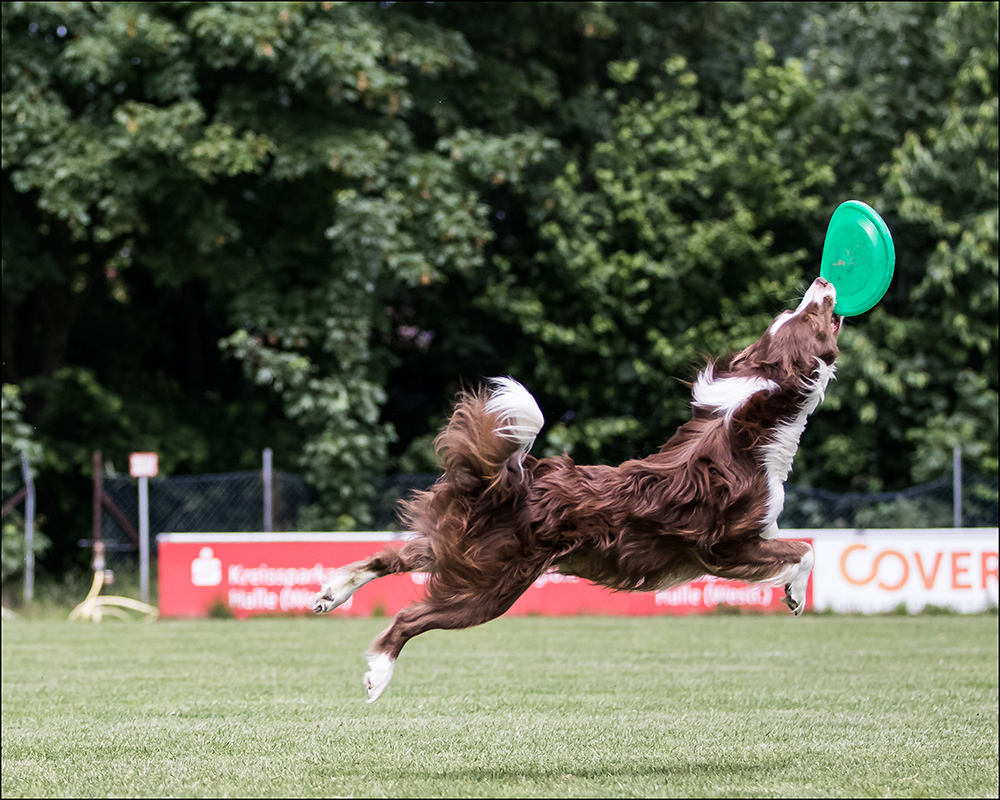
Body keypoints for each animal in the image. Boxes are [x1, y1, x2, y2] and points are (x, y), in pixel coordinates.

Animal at [316, 276, 840, 700]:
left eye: (792, 316)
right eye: (810, 317)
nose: (822, 280)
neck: (751, 420)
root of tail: (506, 482)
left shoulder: (756, 536)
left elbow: (797, 547)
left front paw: (791, 592)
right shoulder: (727, 546)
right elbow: (806, 550)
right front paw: (796, 595)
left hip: (461, 547)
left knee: (393, 556)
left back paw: (333, 592)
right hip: (491, 586)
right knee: (411, 617)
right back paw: (378, 674)